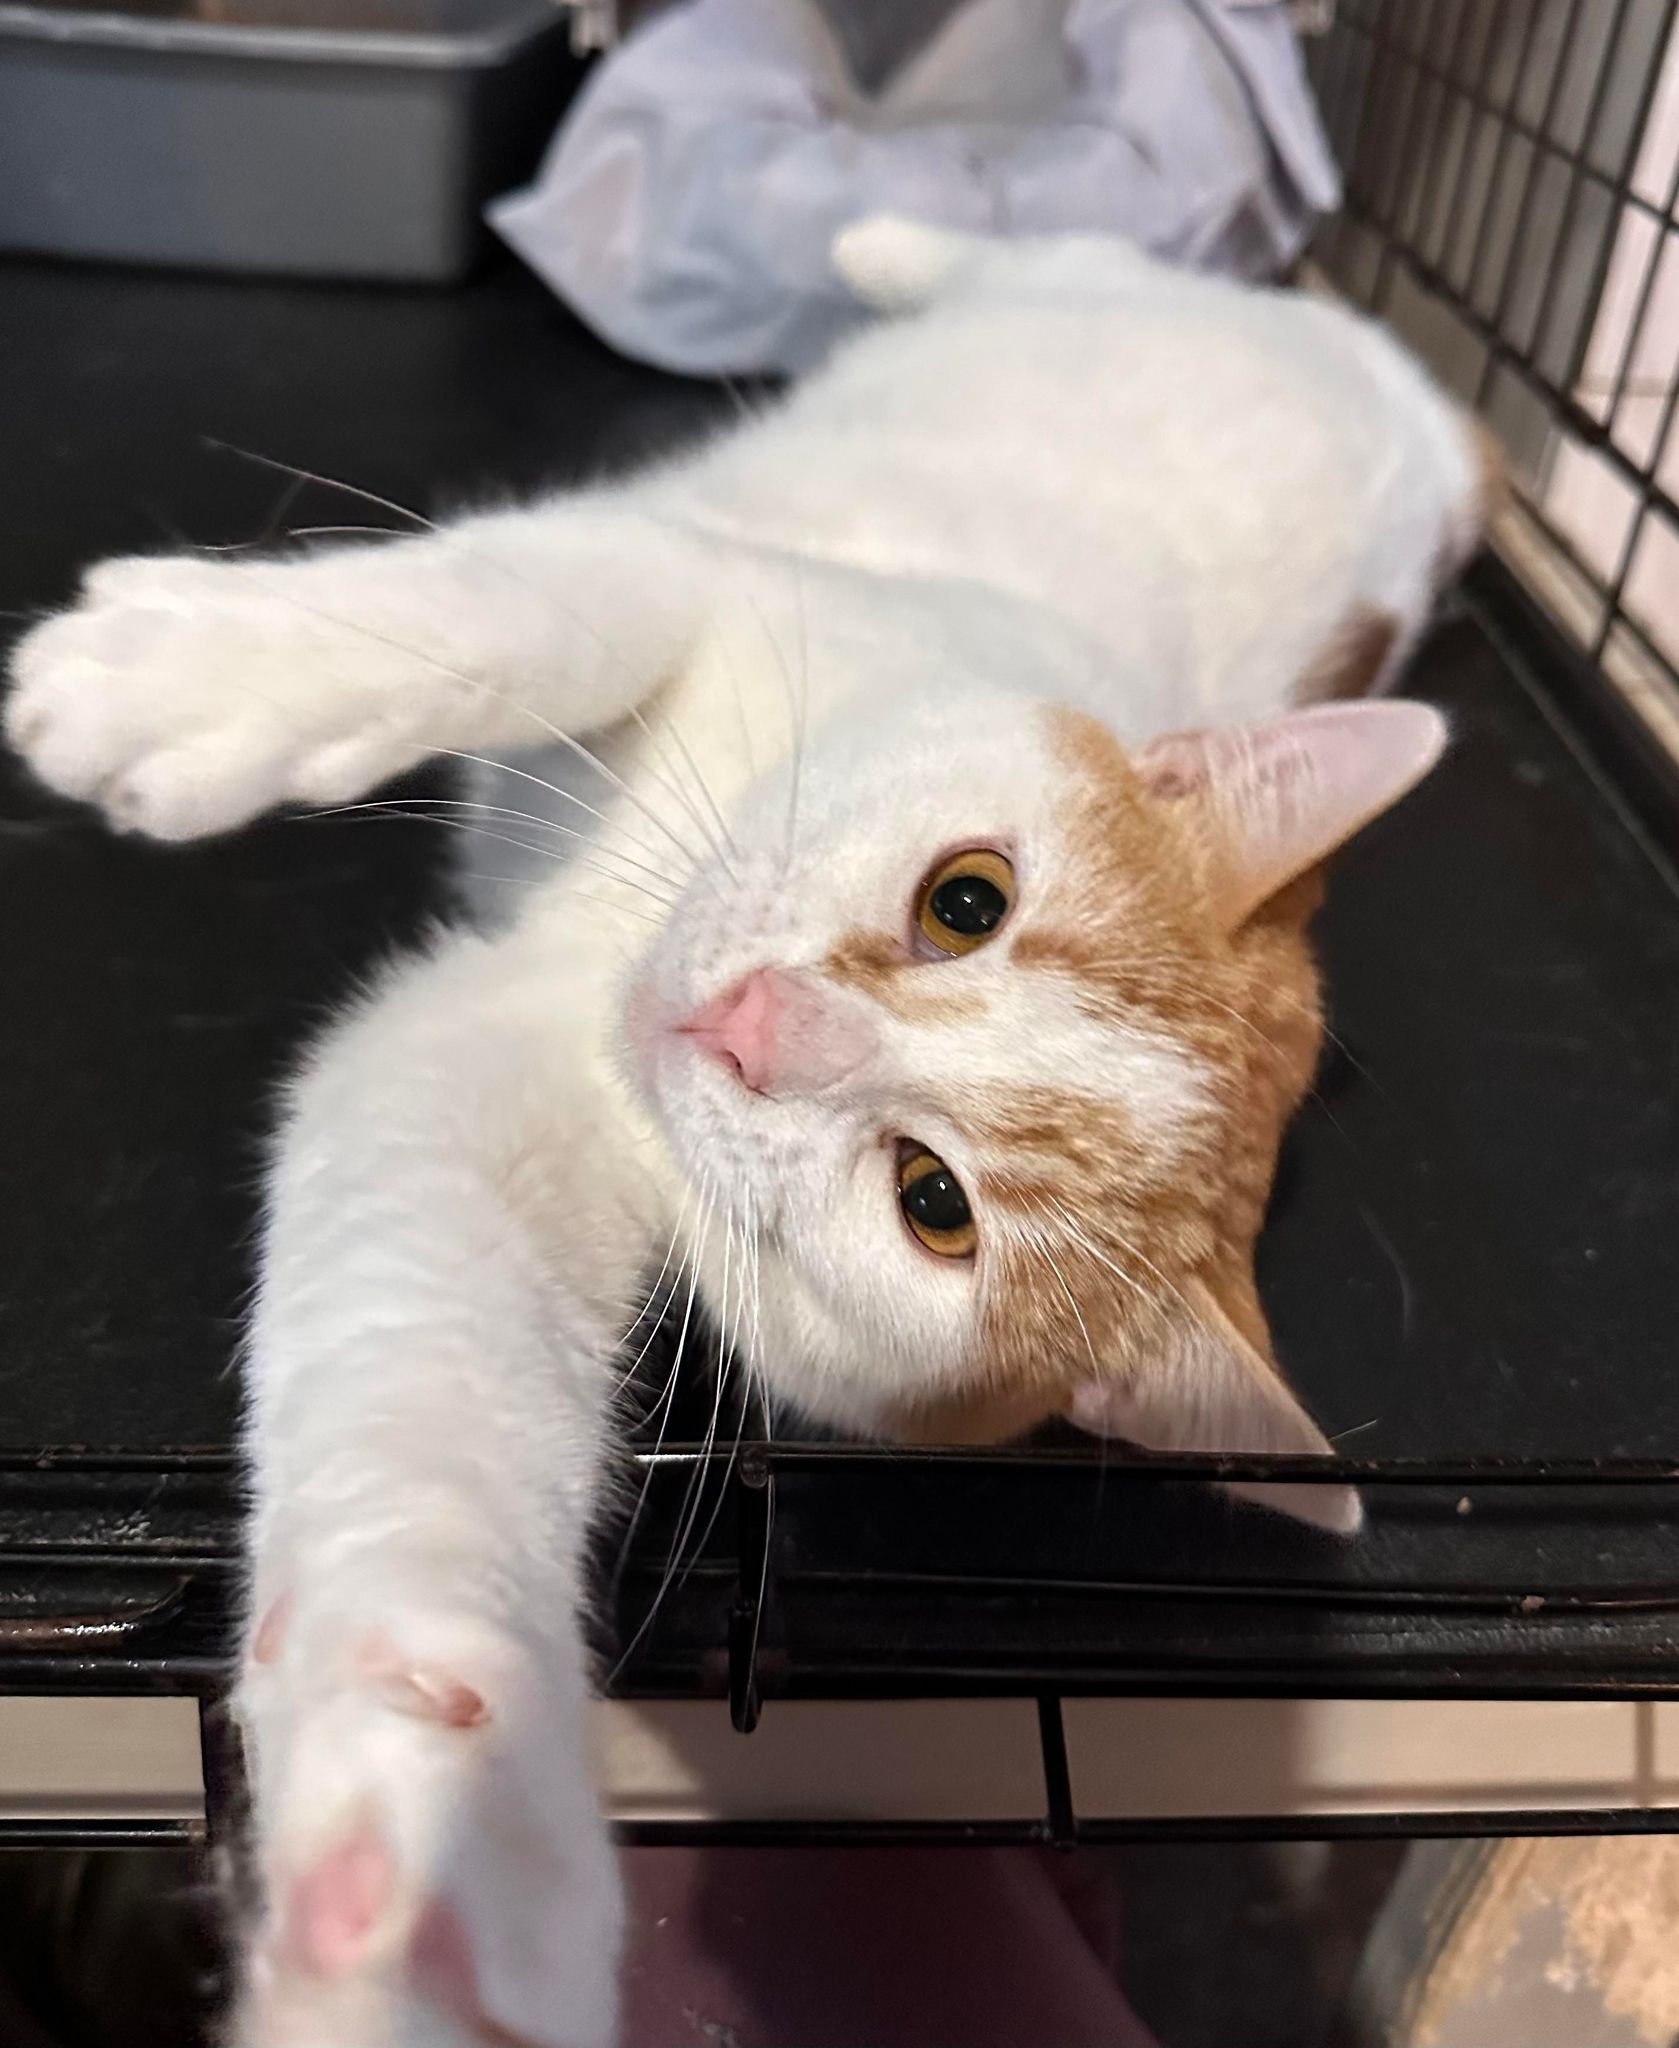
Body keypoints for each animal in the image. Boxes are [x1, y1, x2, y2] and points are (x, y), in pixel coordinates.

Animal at [4, 218, 1487, 2047]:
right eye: (965, 900)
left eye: (932, 1202)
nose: (762, 1025)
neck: (615, 935)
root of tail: (1429, 423)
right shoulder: (686, 573)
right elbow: (515, 610)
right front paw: (188, 678)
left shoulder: (494, 1089)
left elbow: (426, 1394)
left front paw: (433, 1857)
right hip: (1095, 293)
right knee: (1036, 249)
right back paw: (883, 245)